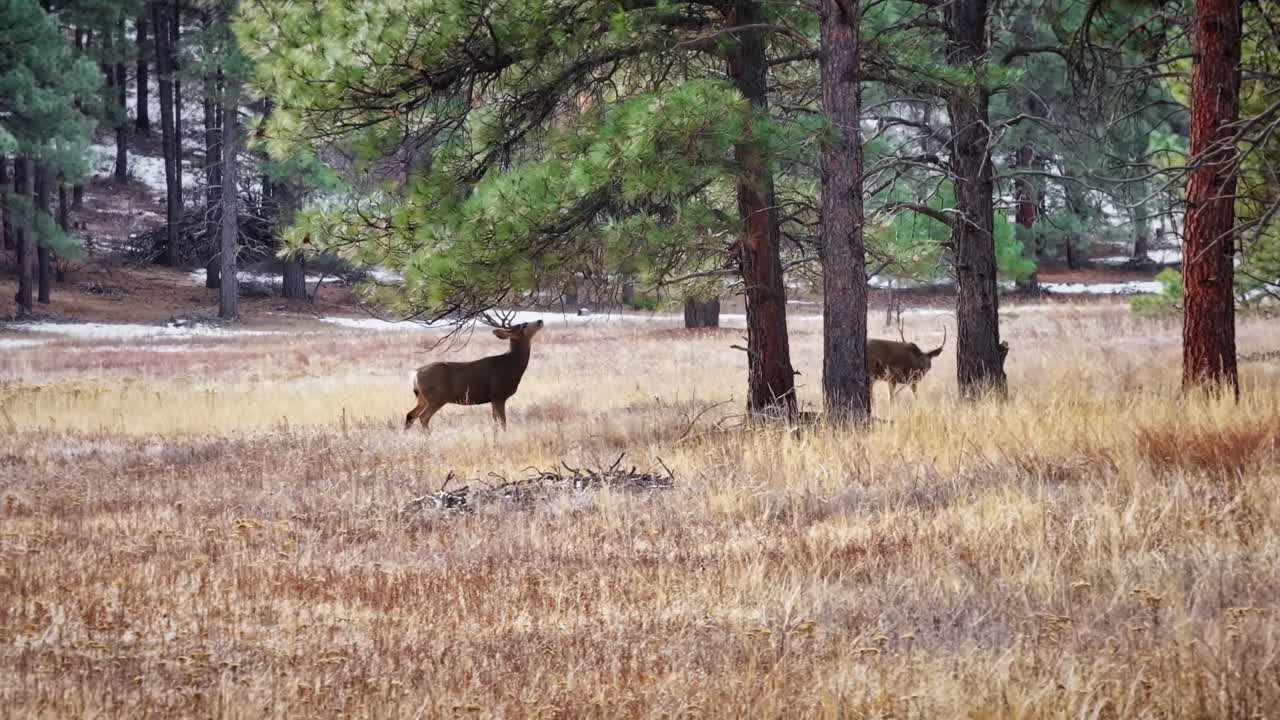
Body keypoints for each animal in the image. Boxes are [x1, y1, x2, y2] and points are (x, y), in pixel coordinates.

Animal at [403, 318, 545, 431]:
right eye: (524, 325)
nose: (540, 321)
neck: (510, 365)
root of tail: (415, 374)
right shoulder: (499, 394)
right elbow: (503, 422)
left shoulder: (493, 398)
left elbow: (495, 422)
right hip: (437, 397)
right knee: (423, 417)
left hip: (423, 397)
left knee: (410, 415)